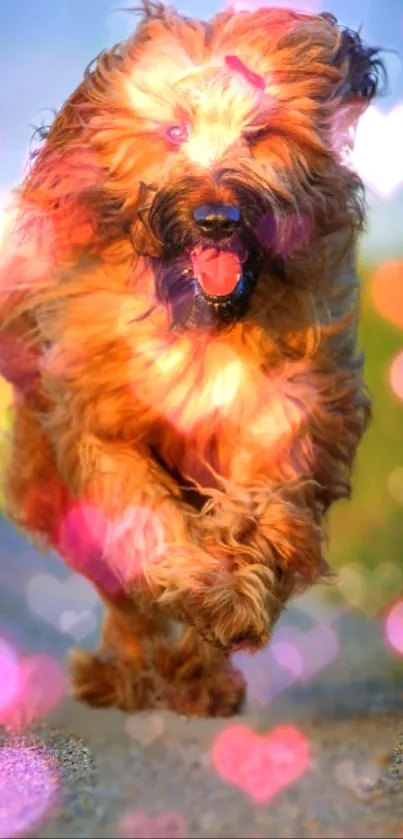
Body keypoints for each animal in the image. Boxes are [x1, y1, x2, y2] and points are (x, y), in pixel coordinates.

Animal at [0, 3, 386, 720]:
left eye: (259, 132)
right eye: (174, 129)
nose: (216, 218)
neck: (203, 323)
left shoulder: (284, 405)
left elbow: (261, 503)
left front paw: (232, 594)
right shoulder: (100, 424)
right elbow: (142, 520)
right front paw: (195, 581)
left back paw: (199, 675)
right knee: (121, 593)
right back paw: (129, 672)